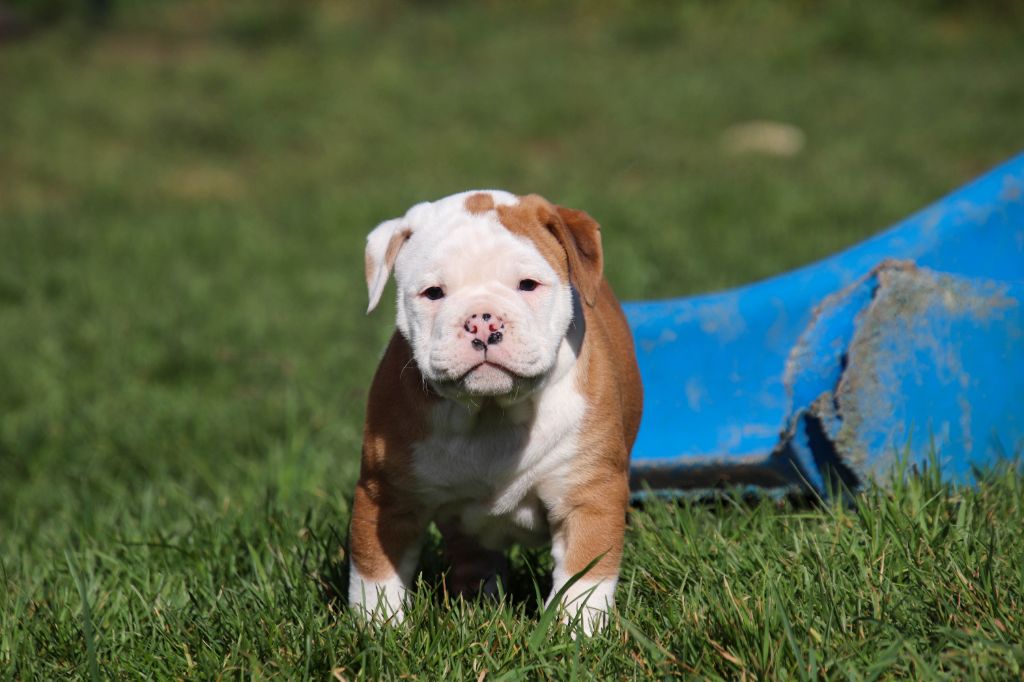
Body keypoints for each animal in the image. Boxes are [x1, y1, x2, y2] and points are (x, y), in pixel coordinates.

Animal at [348, 190, 642, 634]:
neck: (491, 412)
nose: (482, 320)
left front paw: (577, 631)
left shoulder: (588, 493)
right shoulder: (387, 495)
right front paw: (378, 629)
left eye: (527, 285)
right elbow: (374, 571)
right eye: (434, 293)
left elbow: (584, 576)